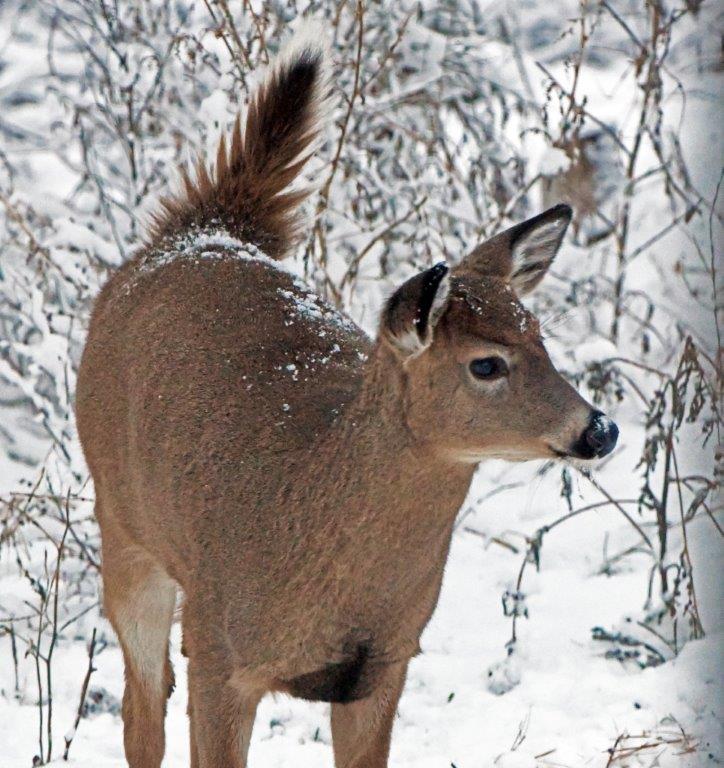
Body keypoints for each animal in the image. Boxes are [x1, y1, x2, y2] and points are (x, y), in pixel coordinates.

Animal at [75, 25, 619, 768]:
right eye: (486, 365)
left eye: (542, 338)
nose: (598, 429)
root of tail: (202, 230)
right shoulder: (218, 648)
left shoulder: (384, 665)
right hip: (125, 530)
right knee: (141, 711)